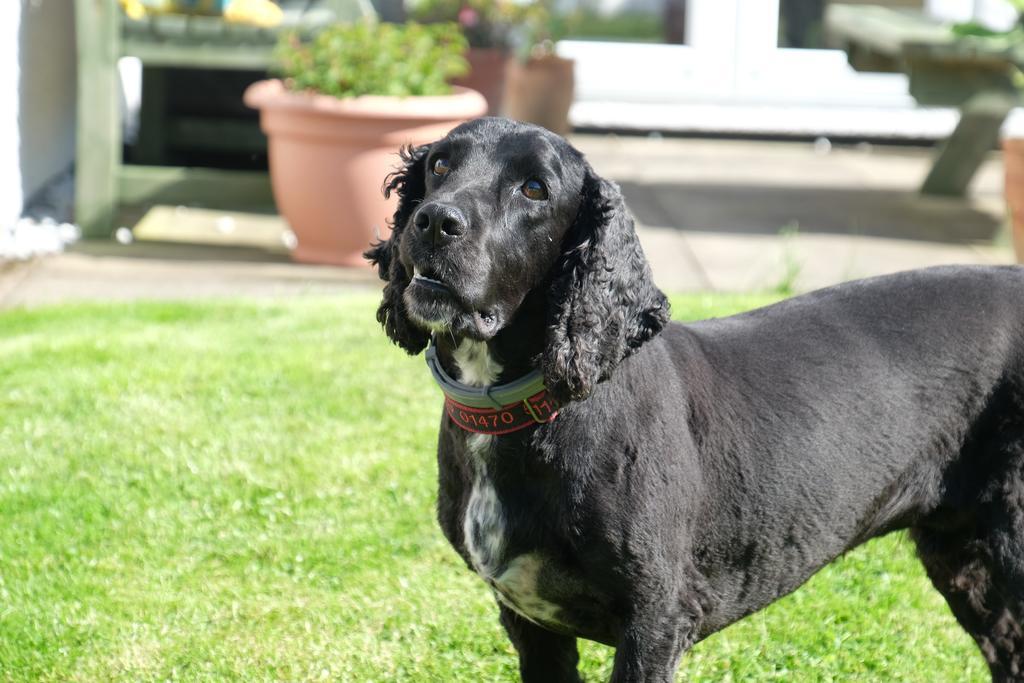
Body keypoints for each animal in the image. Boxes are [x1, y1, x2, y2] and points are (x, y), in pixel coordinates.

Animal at [366, 116, 1024, 679]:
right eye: (440, 165)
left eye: (534, 189)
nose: (434, 221)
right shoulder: (531, 621)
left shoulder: (656, 619)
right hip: (966, 561)